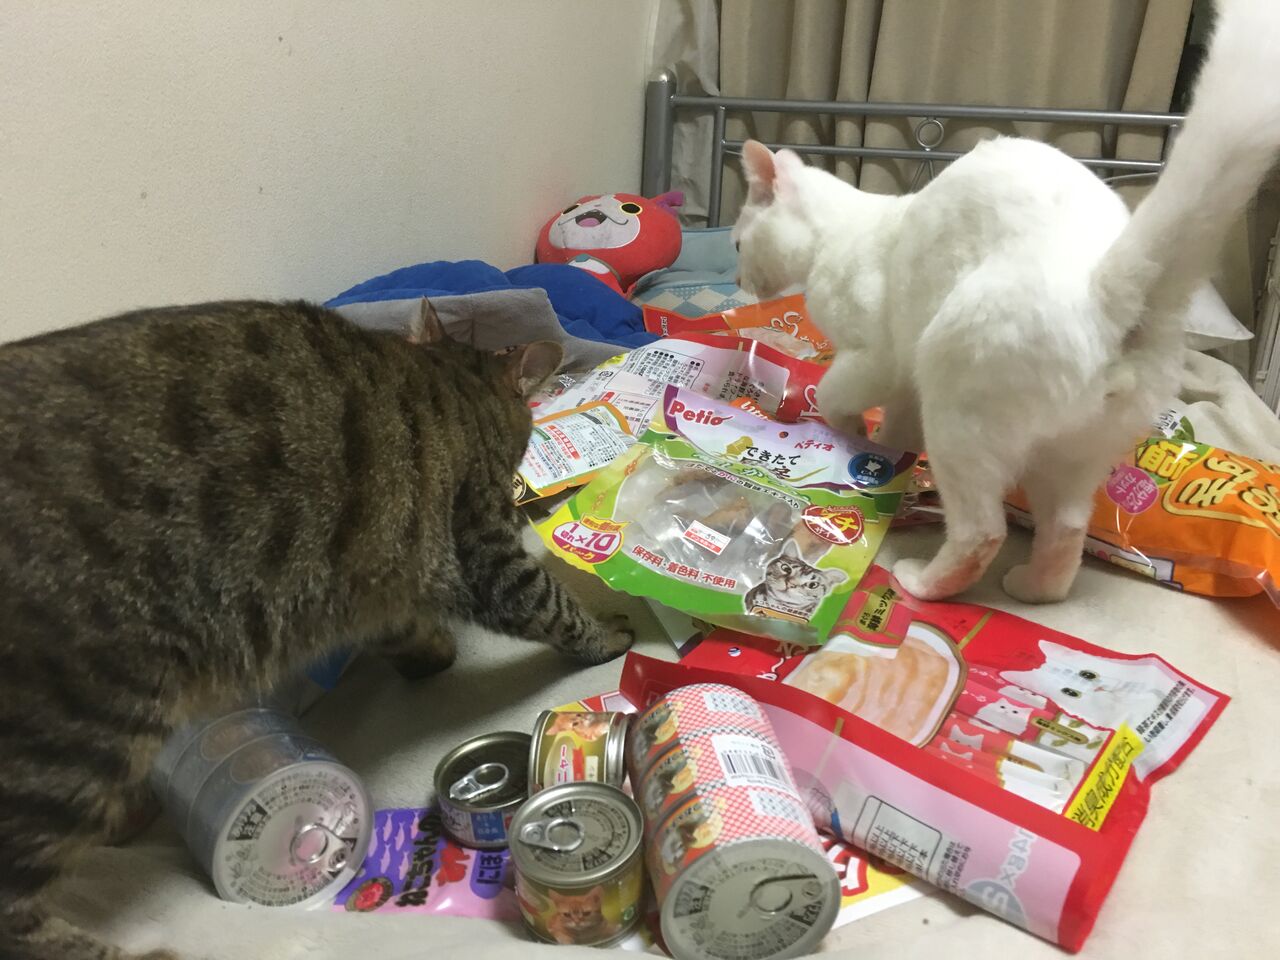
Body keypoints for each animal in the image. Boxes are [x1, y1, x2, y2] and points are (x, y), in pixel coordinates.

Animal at [0, 298, 633, 960]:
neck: (453, 380)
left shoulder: (375, 575)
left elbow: (403, 629)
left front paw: (433, 652)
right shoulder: (482, 549)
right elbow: (552, 606)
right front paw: (609, 636)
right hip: (80, 734)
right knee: (12, 909)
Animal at [732, 0, 1280, 604]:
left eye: (736, 244)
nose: (738, 277)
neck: (841, 231)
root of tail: (1106, 288)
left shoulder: (878, 359)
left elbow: (835, 393)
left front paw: (852, 435)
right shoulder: (905, 389)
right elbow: (898, 431)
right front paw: (890, 464)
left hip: (957, 407)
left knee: (982, 531)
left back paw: (922, 581)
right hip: (1072, 454)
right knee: (1065, 528)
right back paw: (1034, 588)